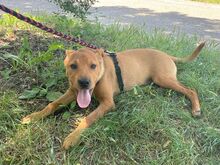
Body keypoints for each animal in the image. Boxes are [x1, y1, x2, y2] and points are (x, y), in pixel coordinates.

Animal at [21, 42, 205, 150]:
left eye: (93, 66)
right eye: (73, 66)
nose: (84, 82)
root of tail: (167, 55)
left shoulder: (108, 103)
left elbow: (87, 118)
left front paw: (73, 137)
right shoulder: (73, 92)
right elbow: (52, 104)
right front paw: (34, 116)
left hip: (163, 78)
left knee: (191, 90)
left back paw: (196, 109)